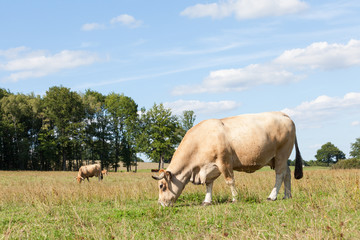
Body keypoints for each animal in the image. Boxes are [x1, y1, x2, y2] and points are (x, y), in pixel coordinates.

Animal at [152, 111, 304, 207]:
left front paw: (235, 198)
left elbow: (230, 181)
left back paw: (272, 196)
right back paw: (287, 195)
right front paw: (207, 201)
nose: (160, 203)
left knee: (280, 175)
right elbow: (208, 184)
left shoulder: (224, 162)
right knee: (287, 173)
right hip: (280, 158)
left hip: (281, 154)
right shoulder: (209, 167)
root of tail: (282, 114)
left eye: (161, 186)